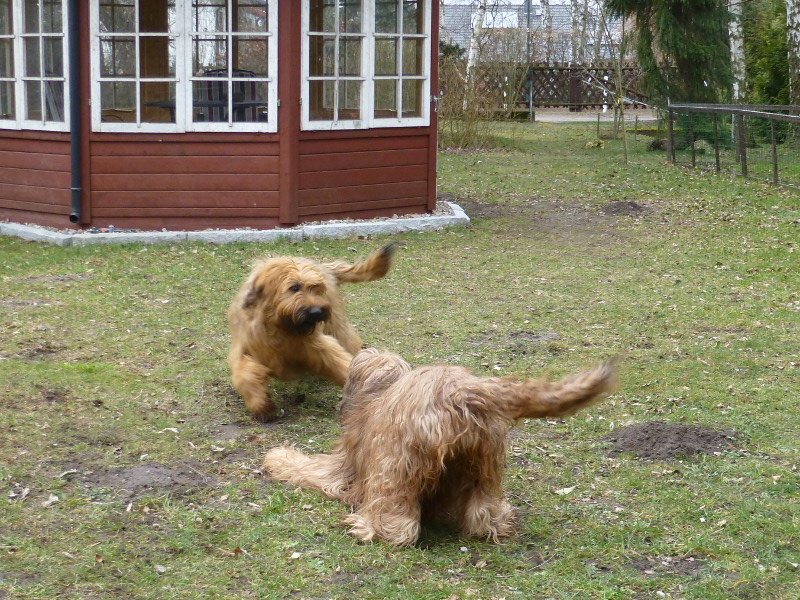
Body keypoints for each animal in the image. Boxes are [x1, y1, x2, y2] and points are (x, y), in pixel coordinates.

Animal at [227, 244, 397, 421]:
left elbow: (338, 362)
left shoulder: (317, 345)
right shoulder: (246, 347)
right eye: (294, 288)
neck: (281, 326)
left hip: (335, 325)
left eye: (316, 288)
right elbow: (244, 375)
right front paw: (262, 405)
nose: (316, 312)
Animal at [264, 348, 617, 546]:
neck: (375, 392)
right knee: (484, 514)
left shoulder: (341, 467)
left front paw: (276, 458)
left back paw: (368, 527)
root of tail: (463, 393)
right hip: (482, 463)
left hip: (398, 466)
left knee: (400, 526)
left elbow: (305, 467)